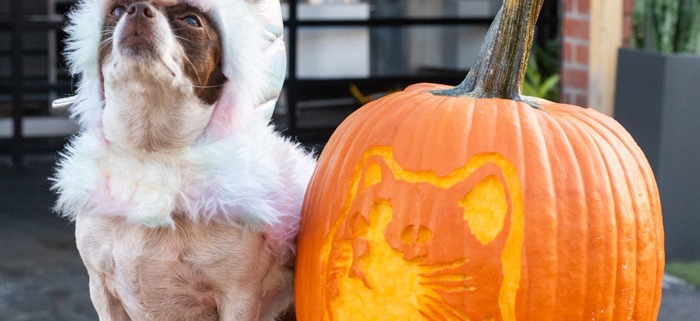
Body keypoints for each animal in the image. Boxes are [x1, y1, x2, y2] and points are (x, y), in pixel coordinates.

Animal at [53, 1, 316, 318]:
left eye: (192, 20)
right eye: (116, 10)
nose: (138, 8)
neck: (153, 158)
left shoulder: (238, 298)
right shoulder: (102, 290)